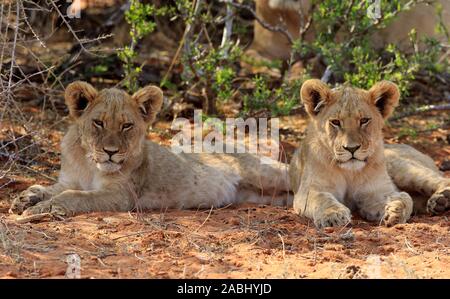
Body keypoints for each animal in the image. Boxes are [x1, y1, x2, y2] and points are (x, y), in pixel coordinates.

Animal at [10, 82, 292, 218]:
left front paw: (40, 209)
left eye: (126, 125)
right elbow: (50, 188)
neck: (90, 164)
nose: (110, 152)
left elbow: (74, 196)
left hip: (265, 173)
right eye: (99, 122)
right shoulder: (69, 179)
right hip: (262, 195)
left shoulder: (122, 195)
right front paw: (27, 197)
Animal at [288, 78, 450, 229]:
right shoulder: (308, 190)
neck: (350, 173)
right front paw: (333, 215)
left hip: (403, 168)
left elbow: (404, 197)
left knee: (441, 180)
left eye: (364, 120)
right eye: (335, 122)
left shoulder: (375, 193)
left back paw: (441, 200)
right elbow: (322, 198)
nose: (351, 148)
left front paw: (395, 211)